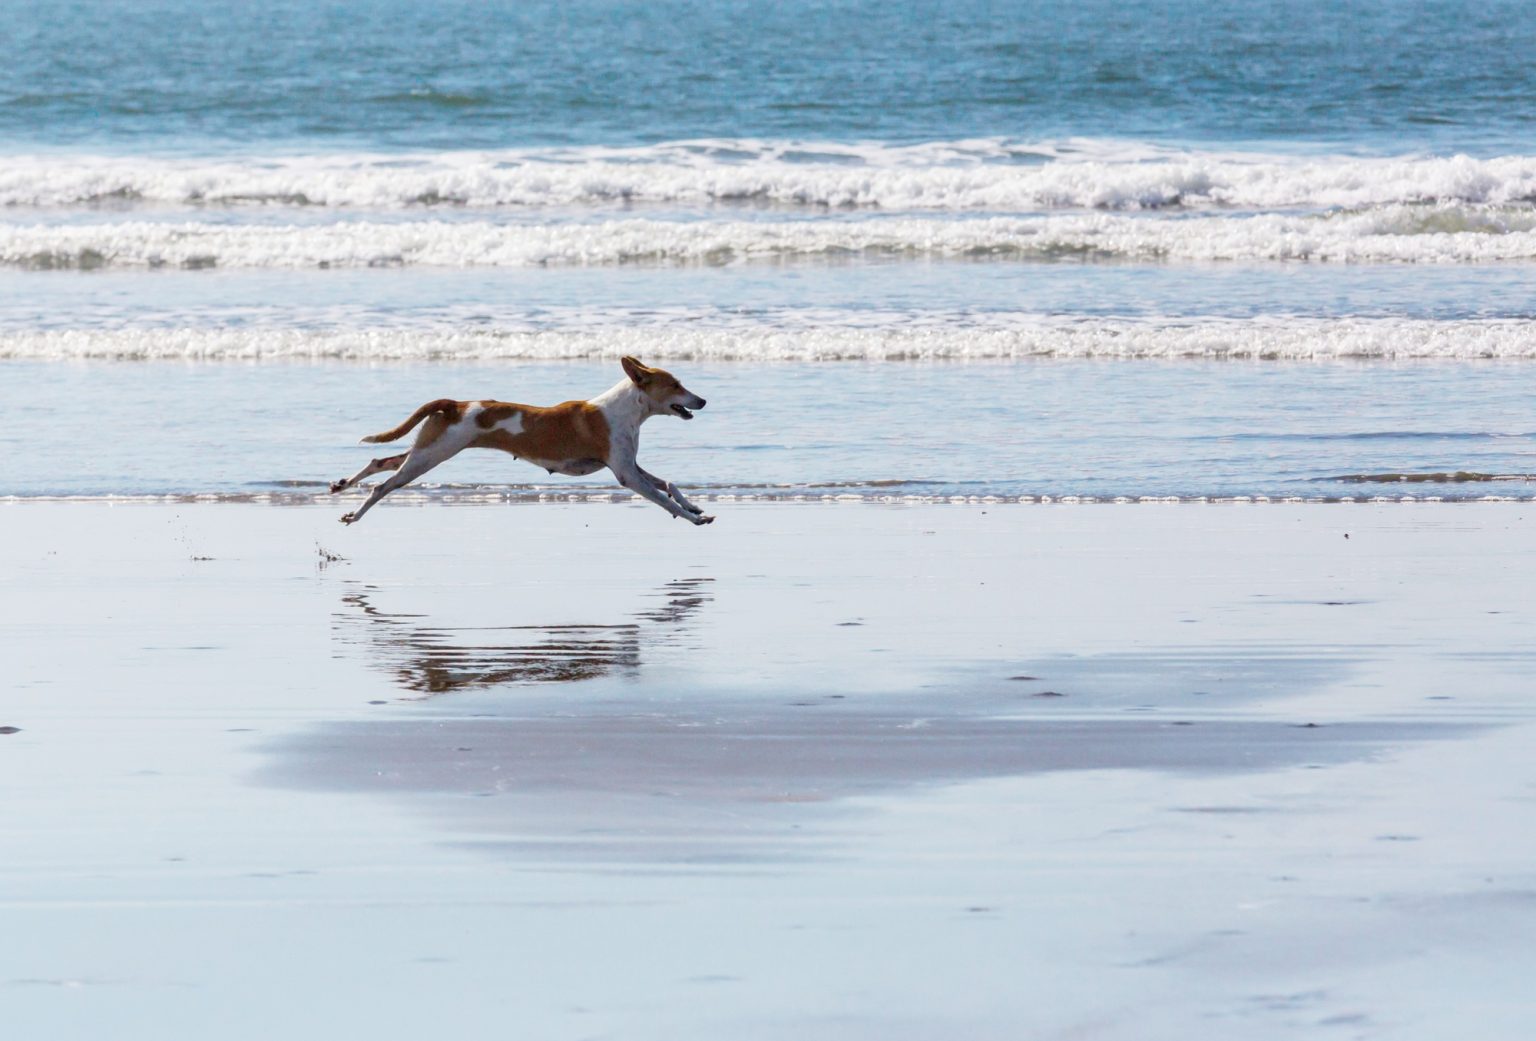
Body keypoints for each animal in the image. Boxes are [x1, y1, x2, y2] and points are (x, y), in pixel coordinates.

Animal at [331, 354, 712, 525]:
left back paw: (342, 484)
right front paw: (692, 517)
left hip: (427, 449)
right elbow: (662, 500)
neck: (622, 410)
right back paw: (355, 513)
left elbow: (668, 483)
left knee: (380, 461)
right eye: (675, 384)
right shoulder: (626, 474)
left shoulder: (631, 465)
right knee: (383, 486)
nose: (704, 400)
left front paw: (693, 506)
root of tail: (454, 404)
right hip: (431, 456)